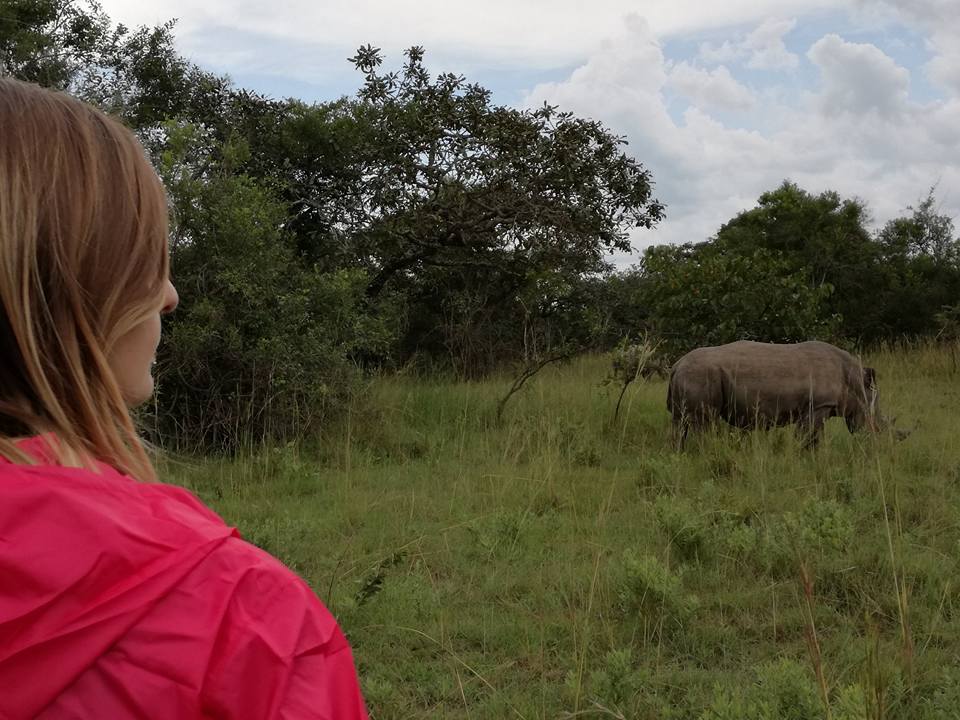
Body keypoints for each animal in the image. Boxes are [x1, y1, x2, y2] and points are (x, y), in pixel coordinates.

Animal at [667, 340, 886, 447]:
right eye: (876, 420)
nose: (877, 444)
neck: (854, 380)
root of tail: (676, 366)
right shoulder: (819, 406)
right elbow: (807, 438)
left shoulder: (818, 407)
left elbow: (812, 438)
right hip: (700, 375)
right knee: (705, 423)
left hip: (689, 376)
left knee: (680, 423)